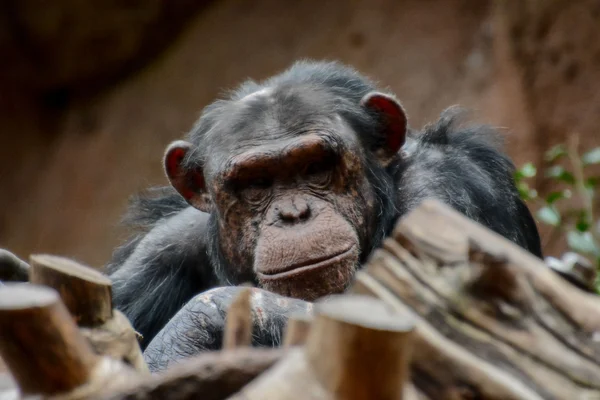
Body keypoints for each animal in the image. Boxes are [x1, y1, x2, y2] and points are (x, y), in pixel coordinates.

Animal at [0, 60, 544, 372]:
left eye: (317, 167)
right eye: (257, 184)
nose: (294, 213)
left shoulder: (447, 190)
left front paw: (189, 330)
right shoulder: (160, 252)